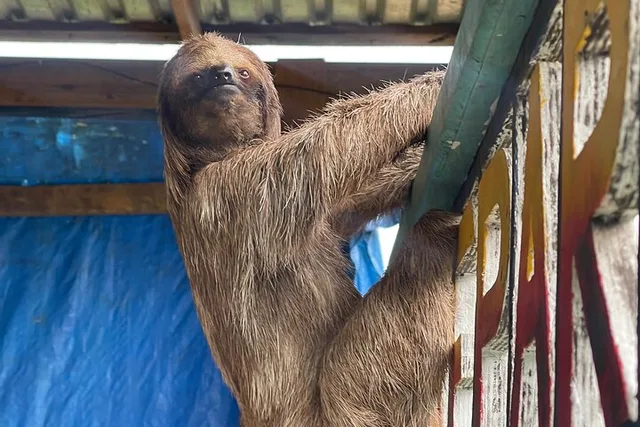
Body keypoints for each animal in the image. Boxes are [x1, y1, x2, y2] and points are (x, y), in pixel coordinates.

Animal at [157, 33, 458, 427]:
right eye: (196, 78)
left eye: (242, 72)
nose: (223, 76)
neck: (211, 159)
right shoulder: (236, 187)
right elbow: (324, 150)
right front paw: (432, 87)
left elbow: (346, 204)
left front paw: (411, 160)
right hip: (344, 405)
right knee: (418, 266)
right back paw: (434, 234)